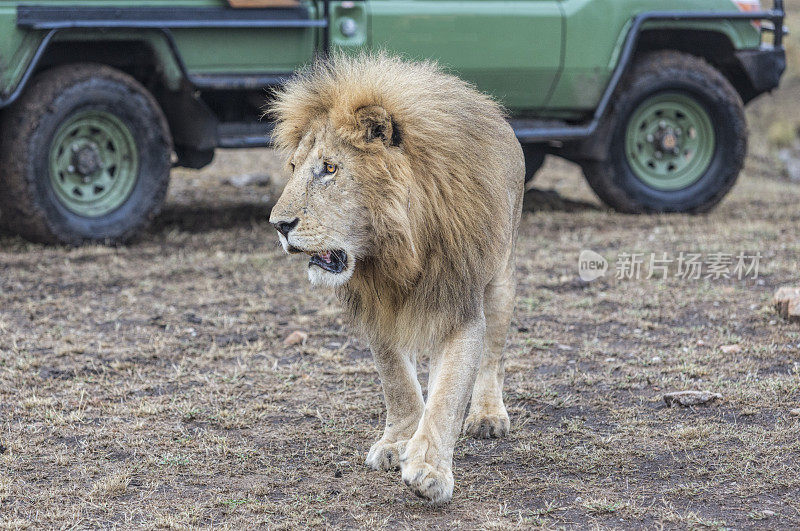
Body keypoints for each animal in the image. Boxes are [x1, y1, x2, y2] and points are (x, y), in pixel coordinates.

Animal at [268, 53, 524, 502]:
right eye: (295, 167)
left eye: (329, 168)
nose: (279, 225)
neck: (394, 251)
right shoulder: (378, 309)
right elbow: (398, 383)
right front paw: (399, 442)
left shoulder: (459, 306)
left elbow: (447, 394)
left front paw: (429, 470)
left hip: (501, 277)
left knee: (494, 353)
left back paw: (488, 415)